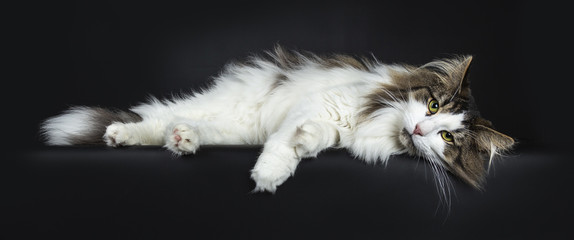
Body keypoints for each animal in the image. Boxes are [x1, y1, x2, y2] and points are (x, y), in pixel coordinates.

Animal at [41, 45, 516, 195]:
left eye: (448, 138)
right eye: (433, 106)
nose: (418, 129)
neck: (381, 123)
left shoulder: (329, 125)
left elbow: (311, 140)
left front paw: (303, 145)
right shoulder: (319, 104)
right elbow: (282, 144)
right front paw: (269, 173)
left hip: (233, 130)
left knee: (180, 126)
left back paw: (184, 140)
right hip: (227, 108)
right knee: (158, 117)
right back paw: (120, 134)